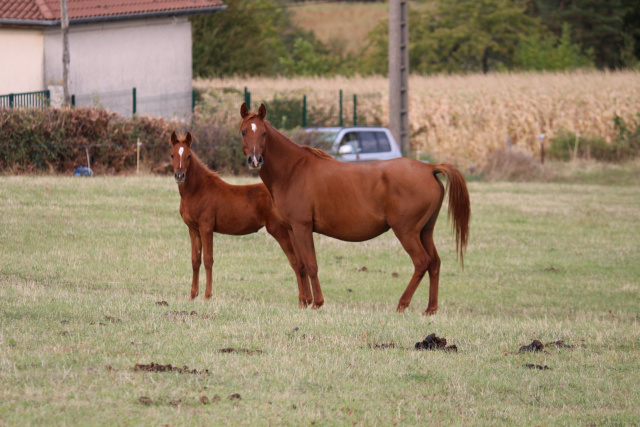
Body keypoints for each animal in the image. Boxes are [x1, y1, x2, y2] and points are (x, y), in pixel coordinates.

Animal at [169, 132, 312, 306]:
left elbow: (208, 260)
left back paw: (304, 301)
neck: (198, 190)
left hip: (280, 231)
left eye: (189, 155)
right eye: (172, 154)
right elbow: (195, 260)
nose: (179, 176)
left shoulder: (206, 227)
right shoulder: (193, 229)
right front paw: (192, 295)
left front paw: (207, 296)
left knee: (296, 262)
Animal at [239, 105, 470, 316]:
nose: (255, 160)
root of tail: (429, 168)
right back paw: (430, 309)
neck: (293, 170)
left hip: (407, 232)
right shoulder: (292, 229)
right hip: (425, 232)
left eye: (264, 132)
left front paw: (317, 303)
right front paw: (304, 302)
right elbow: (300, 265)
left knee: (422, 262)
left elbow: (311, 264)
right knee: (435, 263)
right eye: (243, 131)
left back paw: (402, 304)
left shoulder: (302, 227)